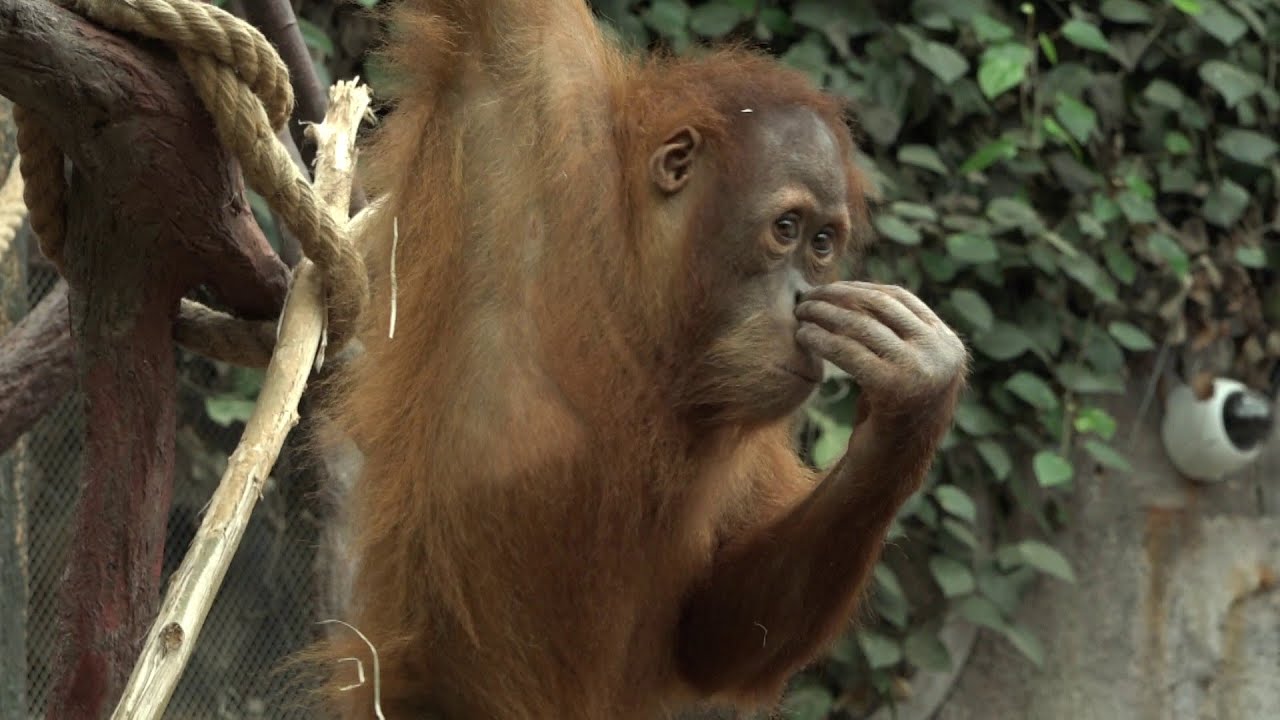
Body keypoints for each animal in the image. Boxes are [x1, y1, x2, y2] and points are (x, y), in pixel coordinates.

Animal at [312, 1, 967, 718]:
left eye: (823, 244)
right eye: (787, 229)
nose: (802, 297)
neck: (646, 313)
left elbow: (710, 632)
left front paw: (914, 394)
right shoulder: (527, 92)